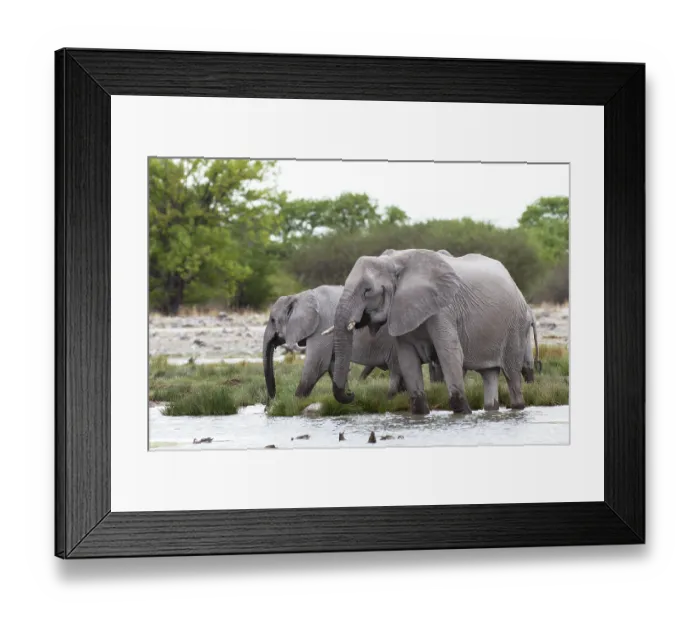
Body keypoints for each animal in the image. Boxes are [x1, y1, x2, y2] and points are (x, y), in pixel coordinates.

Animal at [263, 285, 405, 400]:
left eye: (273, 320)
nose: (270, 404)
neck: (299, 296)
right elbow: (333, 364)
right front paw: (348, 394)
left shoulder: (322, 325)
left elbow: (317, 364)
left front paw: (296, 401)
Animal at [329, 249, 534, 415]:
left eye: (367, 291)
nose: (351, 392)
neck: (395, 262)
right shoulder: (401, 311)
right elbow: (407, 359)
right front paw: (421, 414)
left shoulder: (444, 309)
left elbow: (449, 353)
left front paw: (463, 413)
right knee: (489, 373)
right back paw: (491, 409)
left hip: (515, 326)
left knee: (511, 373)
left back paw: (517, 407)